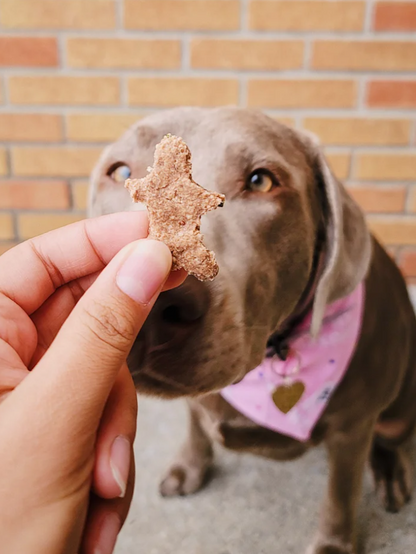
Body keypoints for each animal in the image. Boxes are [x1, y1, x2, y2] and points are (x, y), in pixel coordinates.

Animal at [89, 108, 416, 552]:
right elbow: (196, 423)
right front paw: (189, 467)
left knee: (392, 439)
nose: (153, 306)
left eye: (262, 181)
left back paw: (392, 473)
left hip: (397, 406)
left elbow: (340, 493)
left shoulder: (352, 430)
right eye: (120, 170)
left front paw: (333, 544)